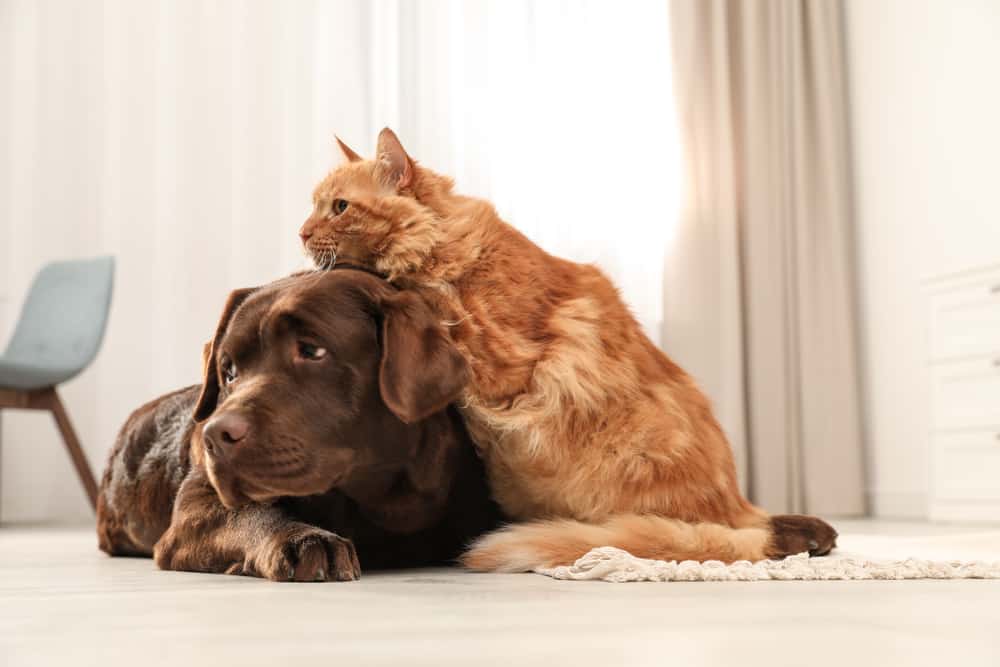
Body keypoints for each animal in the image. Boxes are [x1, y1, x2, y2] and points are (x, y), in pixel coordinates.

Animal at [96, 268, 496, 580]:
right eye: (229, 371)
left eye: (312, 351)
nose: (215, 436)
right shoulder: (196, 505)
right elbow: (250, 512)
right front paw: (305, 539)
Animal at [296, 130, 836, 576]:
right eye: (314, 205)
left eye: (339, 207)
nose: (302, 232)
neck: (451, 241)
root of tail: (736, 512)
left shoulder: (498, 357)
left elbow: (429, 298)